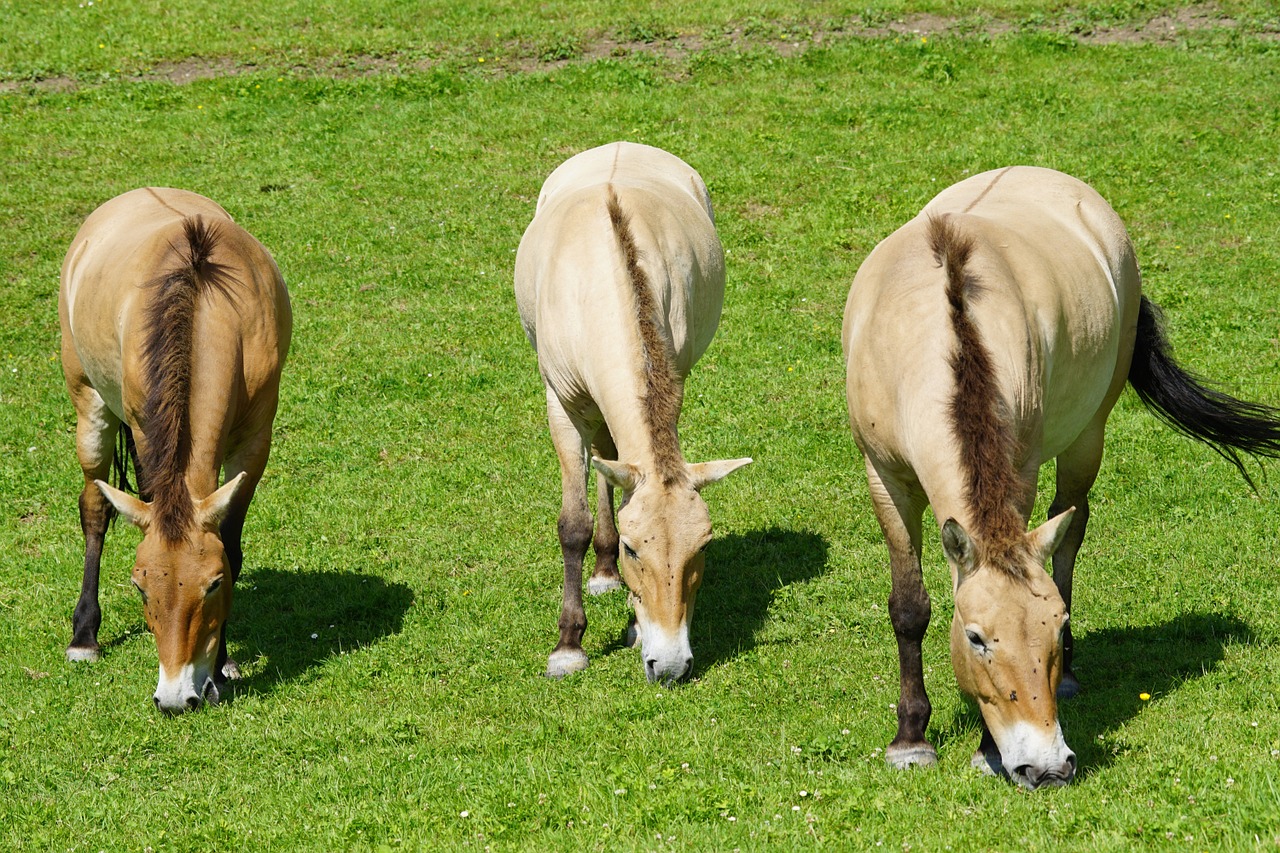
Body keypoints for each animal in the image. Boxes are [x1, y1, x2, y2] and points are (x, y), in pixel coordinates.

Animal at [60, 185, 290, 712]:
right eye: (140, 586)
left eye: (214, 584)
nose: (174, 697)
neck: (205, 303)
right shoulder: (147, 433)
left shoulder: (255, 442)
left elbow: (232, 544)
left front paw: (222, 667)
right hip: (89, 405)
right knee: (94, 507)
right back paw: (84, 636)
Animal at [509, 140, 747, 686]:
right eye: (634, 549)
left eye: (703, 547)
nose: (672, 665)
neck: (602, 285)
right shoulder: (561, 404)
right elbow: (571, 524)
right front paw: (568, 646)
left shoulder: (672, 383)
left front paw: (635, 627)